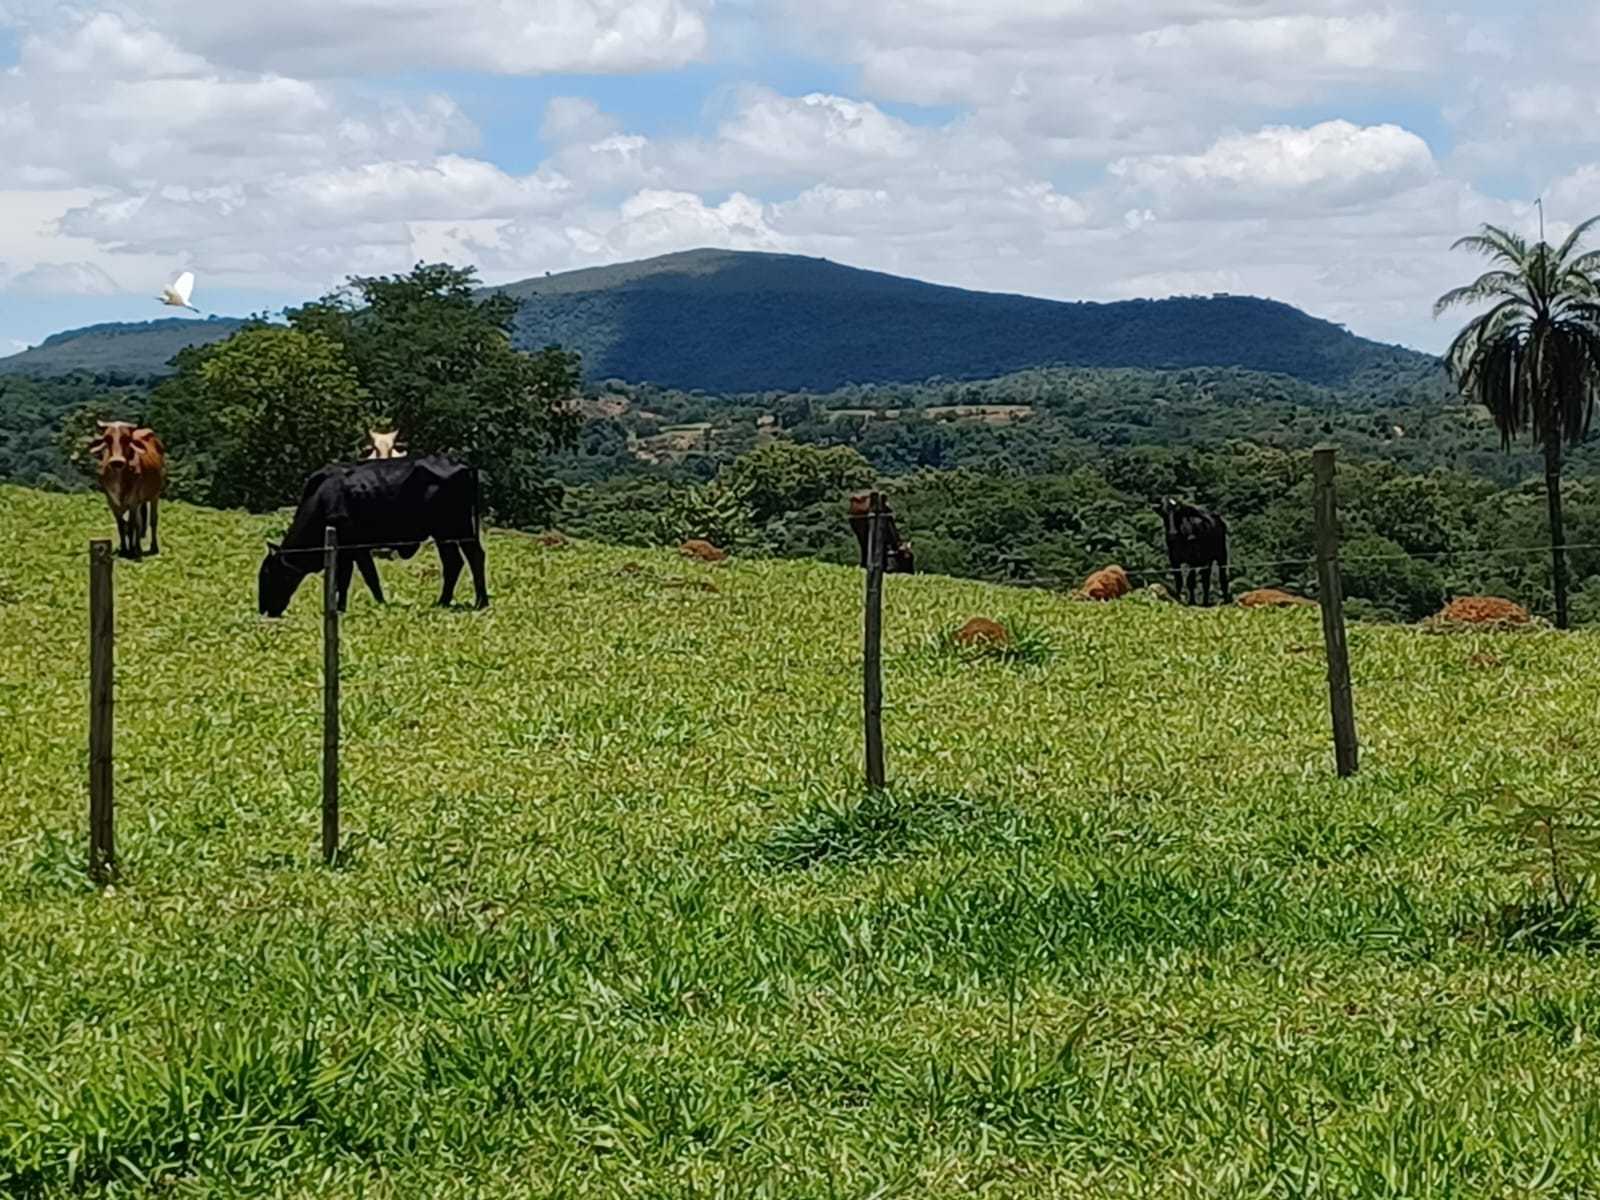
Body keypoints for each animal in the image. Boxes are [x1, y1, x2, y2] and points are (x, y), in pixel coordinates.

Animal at [91, 422, 167, 560]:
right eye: (107, 438)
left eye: (127, 439)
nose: (117, 461)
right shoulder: (112, 502)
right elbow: (122, 526)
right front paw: (124, 550)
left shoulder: (133, 501)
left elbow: (131, 526)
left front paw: (131, 552)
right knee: (139, 523)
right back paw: (138, 547)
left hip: (155, 495)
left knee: (153, 520)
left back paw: (153, 547)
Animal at [256, 454, 486, 614]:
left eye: (268, 574)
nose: (265, 610)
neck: (322, 499)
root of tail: (463, 465)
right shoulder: (347, 552)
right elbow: (348, 579)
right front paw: (344, 606)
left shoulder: (354, 548)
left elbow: (365, 577)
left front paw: (377, 603)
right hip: (445, 534)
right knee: (454, 563)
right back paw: (446, 601)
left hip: (455, 528)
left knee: (473, 557)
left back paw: (478, 602)